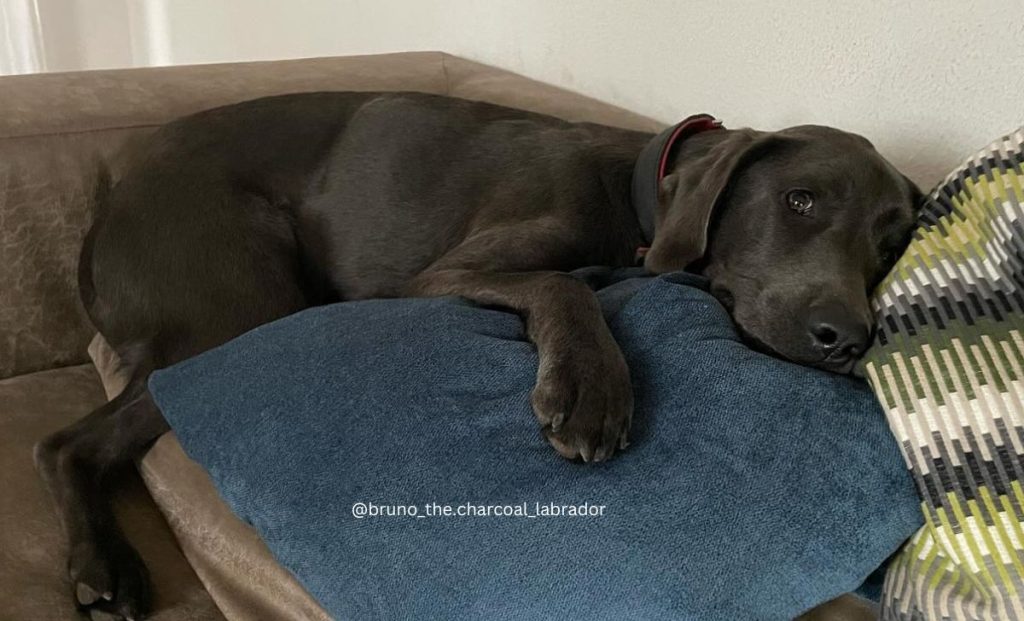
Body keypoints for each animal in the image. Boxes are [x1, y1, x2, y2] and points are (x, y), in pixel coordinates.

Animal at [34, 90, 921, 618]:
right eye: (799, 200)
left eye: (891, 244)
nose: (848, 337)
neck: (637, 194)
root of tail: (108, 197)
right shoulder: (434, 278)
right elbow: (565, 286)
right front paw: (592, 388)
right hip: (240, 306)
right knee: (63, 442)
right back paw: (103, 562)